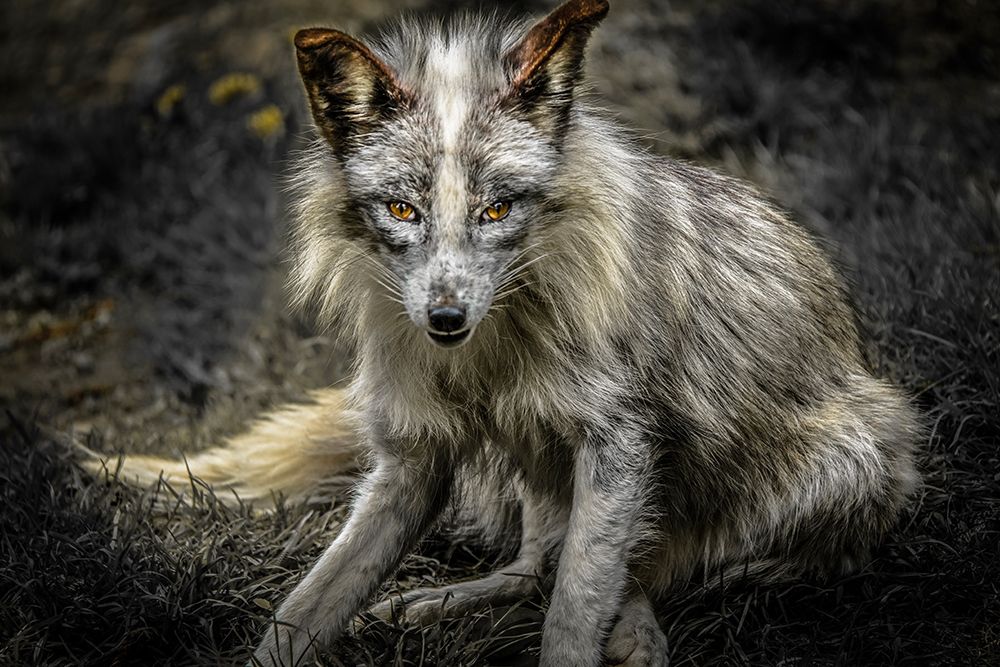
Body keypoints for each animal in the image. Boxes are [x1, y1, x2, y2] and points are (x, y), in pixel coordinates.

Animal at [91, 0, 922, 665]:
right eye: (403, 210)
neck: (490, 355)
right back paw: (434, 605)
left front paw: (594, 634)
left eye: (496, 209)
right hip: (521, 464)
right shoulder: (415, 461)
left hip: (851, 460)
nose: (445, 318)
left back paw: (654, 621)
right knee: (536, 568)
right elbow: (306, 607)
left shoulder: (618, 446)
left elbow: (576, 607)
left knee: (678, 571)